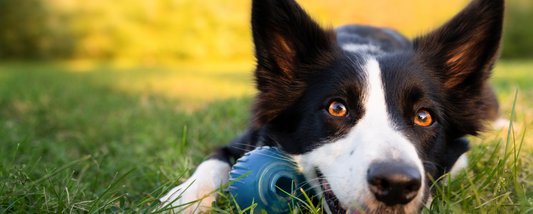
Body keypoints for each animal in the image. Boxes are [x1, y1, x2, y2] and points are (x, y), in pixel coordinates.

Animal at [159, 0, 502, 212]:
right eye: (337, 108)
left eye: (423, 116)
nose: (396, 185)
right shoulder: (243, 138)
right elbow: (213, 162)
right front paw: (183, 198)